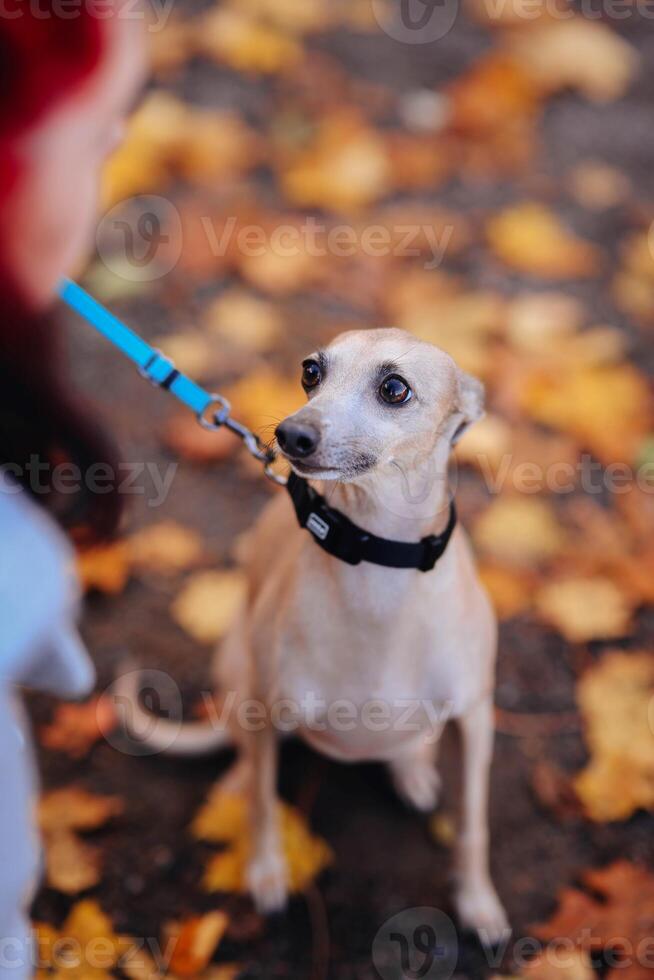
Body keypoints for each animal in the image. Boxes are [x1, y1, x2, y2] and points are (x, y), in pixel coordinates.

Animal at [120, 330, 510, 940]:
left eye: (394, 388)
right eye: (310, 371)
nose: (290, 435)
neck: (377, 567)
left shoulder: (475, 721)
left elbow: (473, 825)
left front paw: (478, 902)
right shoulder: (263, 708)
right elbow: (263, 803)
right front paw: (265, 871)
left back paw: (412, 766)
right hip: (238, 667)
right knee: (247, 757)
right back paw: (236, 778)